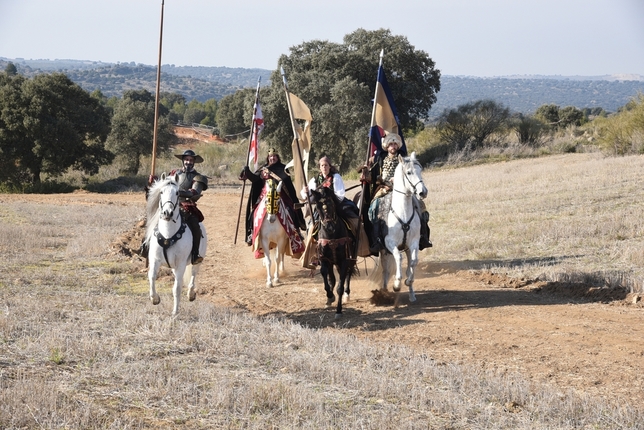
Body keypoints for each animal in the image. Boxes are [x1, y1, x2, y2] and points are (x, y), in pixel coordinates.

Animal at [145, 172, 208, 316]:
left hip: (197, 260)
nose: (167, 213)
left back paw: (191, 294)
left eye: (177, 193)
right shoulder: (155, 260)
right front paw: (155, 299)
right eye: (161, 192)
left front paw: (175, 311)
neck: (168, 235)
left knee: (193, 274)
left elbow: (177, 288)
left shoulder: (181, 265)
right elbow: (152, 277)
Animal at [310, 186, 360, 318]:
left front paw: (338, 310)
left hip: (347, 259)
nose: (330, 227)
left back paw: (347, 294)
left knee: (348, 273)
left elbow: (340, 286)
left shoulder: (344, 260)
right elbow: (325, 275)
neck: (331, 236)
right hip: (333, 262)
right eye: (318, 207)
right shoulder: (324, 259)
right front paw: (330, 296)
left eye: (332, 203)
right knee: (332, 277)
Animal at [378, 153, 428, 304]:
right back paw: (384, 291)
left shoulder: (413, 243)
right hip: (384, 250)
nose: (423, 192)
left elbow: (413, 261)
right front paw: (396, 284)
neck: (403, 213)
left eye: (420, 170)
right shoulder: (390, 243)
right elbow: (399, 258)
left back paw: (412, 295)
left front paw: (408, 281)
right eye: (409, 172)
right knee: (386, 270)